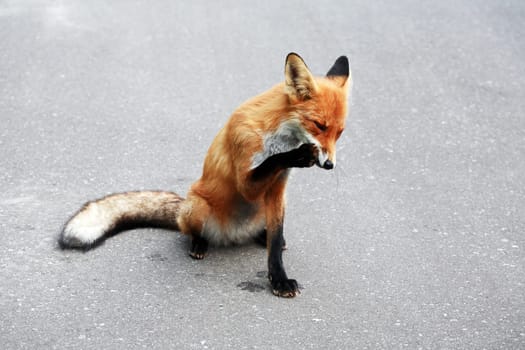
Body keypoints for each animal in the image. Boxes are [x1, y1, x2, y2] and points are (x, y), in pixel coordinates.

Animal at [59, 52, 350, 298]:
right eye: (319, 125)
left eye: (340, 132)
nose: (329, 165)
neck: (278, 136)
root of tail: (233, 235)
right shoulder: (247, 175)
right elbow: (270, 163)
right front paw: (300, 155)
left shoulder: (278, 188)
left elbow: (275, 243)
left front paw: (278, 278)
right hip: (198, 207)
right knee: (191, 230)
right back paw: (198, 244)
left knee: (266, 232)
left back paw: (259, 236)